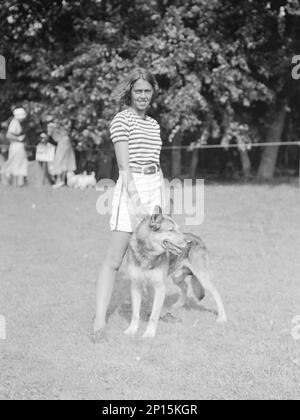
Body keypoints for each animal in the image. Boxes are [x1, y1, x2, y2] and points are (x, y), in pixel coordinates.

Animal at [125, 205, 227, 340]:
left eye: (178, 229)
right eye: (171, 230)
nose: (189, 242)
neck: (147, 254)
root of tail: (198, 238)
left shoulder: (160, 287)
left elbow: (154, 315)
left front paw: (149, 333)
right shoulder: (135, 286)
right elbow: (135, 314)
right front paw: (132, 330)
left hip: (202, 278)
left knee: (216, 294)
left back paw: (222, 318)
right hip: (176, 277)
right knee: (185, 287)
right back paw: (177, 305)